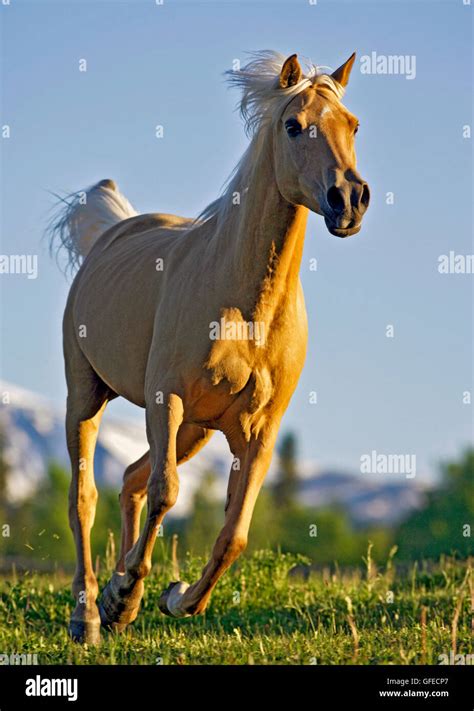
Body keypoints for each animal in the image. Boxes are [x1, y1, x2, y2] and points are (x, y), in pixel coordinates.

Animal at [50, 48, 372, 640]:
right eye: (293, 126)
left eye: (353, 124)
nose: (349, 201)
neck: (247, 311)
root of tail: (113, 232)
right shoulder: (166, 399)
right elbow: (167, 494)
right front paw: (125, 599)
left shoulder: (259, 431)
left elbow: (233, 533)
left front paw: (171, 598)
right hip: (86, 396)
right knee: (84, 498)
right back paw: (89, 615)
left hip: (195, 430)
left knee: (129, 479)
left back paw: (113, 595)